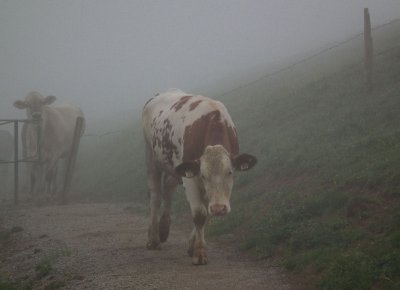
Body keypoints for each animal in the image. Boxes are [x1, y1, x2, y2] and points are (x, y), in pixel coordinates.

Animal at [142, 89, 258, 266]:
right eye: (203, 175)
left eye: (230, 172)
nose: (220, 209)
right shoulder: (191, 177)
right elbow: (199, 214)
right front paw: (200, 252)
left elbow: (208, 212)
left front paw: (192, 246)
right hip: (151, 157)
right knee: (155, 197)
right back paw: (153, 239)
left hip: (176, 168)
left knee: (168, 189)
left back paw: (164, 229)